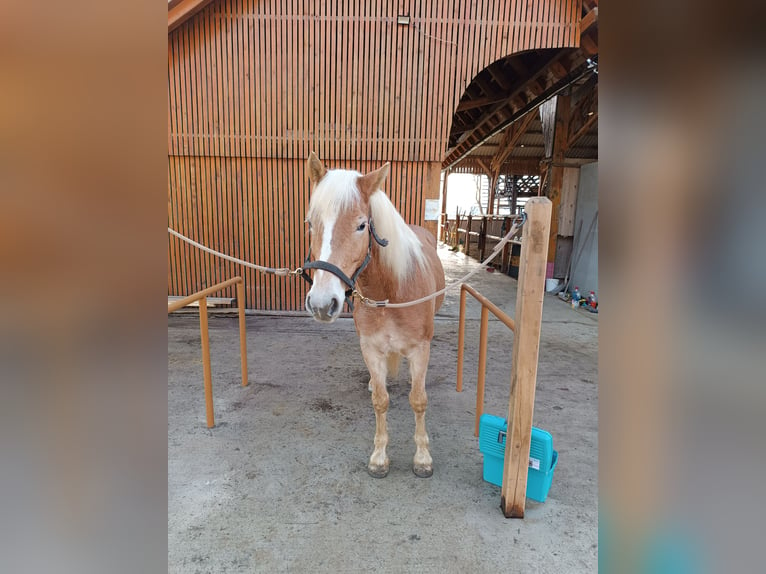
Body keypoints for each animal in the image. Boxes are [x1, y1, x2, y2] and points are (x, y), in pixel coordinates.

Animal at [304, 153, 448, 482]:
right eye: (310, 224)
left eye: (361, 225)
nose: (322, 303)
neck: (391, 292)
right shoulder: (370, 348)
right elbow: (380, 402)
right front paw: (379, 458)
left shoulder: (420, 349)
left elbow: (418, 400)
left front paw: (422, 458)